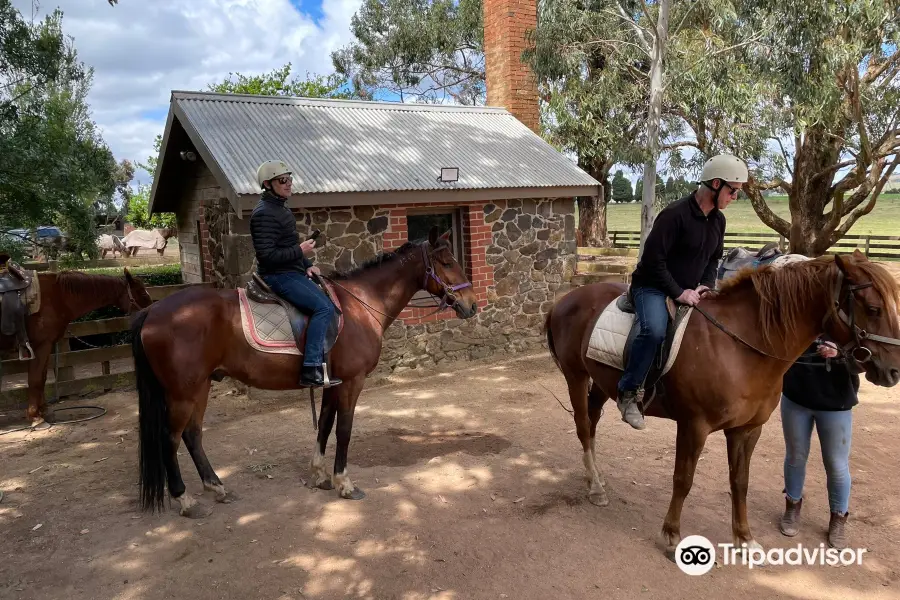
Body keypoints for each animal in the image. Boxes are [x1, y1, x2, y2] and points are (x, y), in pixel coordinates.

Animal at [0, 268, 153, 426]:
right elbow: (35, 380)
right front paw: (36, 417)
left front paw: (44, 412)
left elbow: (41, 378)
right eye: (142, 294)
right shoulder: (41, 345)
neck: (57, 296)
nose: (151, 315)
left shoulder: (45, 347)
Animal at [131, 227, 478, 516]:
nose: (472, 305)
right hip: (182, 393)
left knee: (192, 435)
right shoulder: (352, 382)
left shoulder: (331, 382)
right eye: (447, 262)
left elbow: (324, 424)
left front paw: (320, 474)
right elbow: (344, 430)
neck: (360, 304)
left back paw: (217, 487)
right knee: (170, 439)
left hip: (200, 387)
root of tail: (152, 310)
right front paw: (344, 483)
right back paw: (185, 499)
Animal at [540, 250, 900, 556]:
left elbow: (740, 482)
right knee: (583, 427)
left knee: (592, 422)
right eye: (873, 309)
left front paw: (744, 539)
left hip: (602, 383)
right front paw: (671, 535)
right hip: (576, 376)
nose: (893, 370)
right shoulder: (693, 426)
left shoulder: (747, 430)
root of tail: (564, 300)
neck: (741, 346)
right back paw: (596, 489)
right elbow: (683, 479)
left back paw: (595, 479)